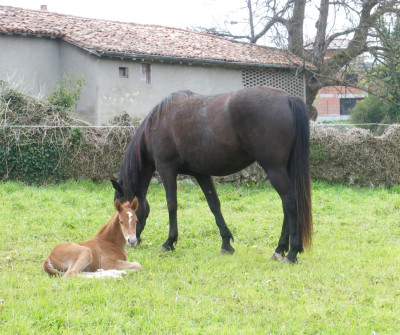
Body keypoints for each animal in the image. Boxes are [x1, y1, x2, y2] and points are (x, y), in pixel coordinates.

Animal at [112, 86, 312, 266]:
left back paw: (291, 253)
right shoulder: (201, 174)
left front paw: (169, 242)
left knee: (289, 202)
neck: (158, 123)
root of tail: (287, 98)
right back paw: (279, 250)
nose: (131, 242)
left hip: (274, 169)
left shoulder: (166, 169)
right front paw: (226, 243)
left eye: (126, 214)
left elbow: (172, 205)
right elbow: (214, 205)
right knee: (287, 205)